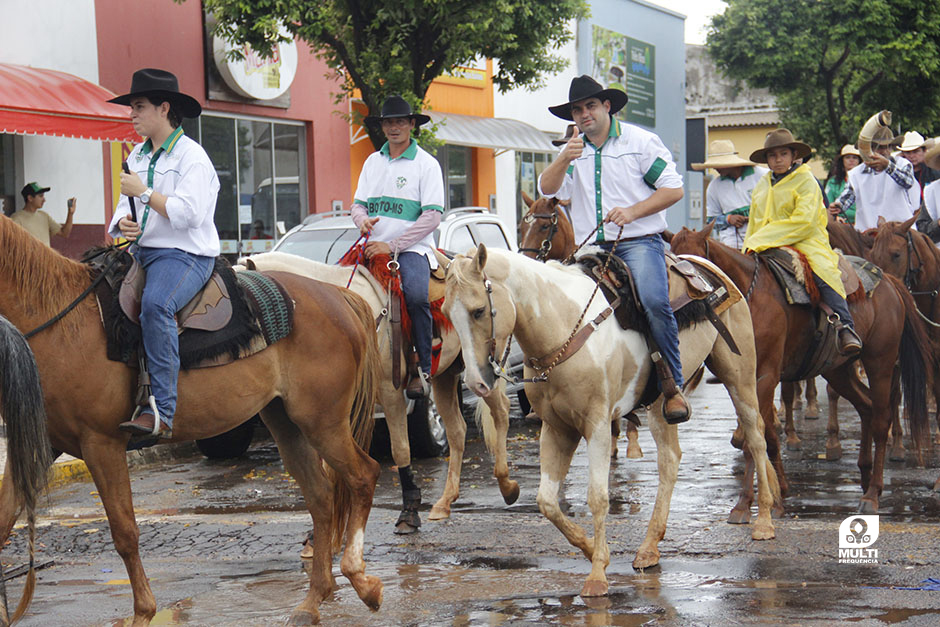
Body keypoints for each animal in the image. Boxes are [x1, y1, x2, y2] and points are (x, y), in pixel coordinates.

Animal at [0, 213, 384, 624]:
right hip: (287, 423)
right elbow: (3, 522)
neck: (63, 325)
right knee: (321, 497)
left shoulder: (101, 444)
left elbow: (125, 532)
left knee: (363, 475)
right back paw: (313, 600)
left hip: (323, 421)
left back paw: (360, 580)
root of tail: (338, 296)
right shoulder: (47, 446)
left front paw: (143, 612)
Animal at [239, 250, 516, 524]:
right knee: (457, 430)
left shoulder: (390, 392)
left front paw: (409, 509)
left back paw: (507, 486)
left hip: (483, 369)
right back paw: (445, 502)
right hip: (444, 377)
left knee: (501, 411)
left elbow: (400, 448)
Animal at [438, 245, 780, 600]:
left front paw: (597, 574)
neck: (564, 328)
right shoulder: (557, 428)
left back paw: (763, 521)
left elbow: (598, 497)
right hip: (660, 405)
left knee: (755, 438)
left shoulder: (597, 426)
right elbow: (547, 502)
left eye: (479, 311)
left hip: (739, 377)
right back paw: (649, 548)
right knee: (670, 460)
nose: (476, 383)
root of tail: (708, 266)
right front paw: (591, 550)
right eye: (447, 312)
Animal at [668, 223, 932, 512]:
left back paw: (872, 493)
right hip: (838, 369)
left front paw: (745, 504)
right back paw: (864, 475)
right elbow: (766, 434)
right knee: (866, 407)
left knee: (882, 419)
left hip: (880, 363)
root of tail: (890, 282)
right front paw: (778, 492)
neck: (750, 302)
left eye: (691, 272)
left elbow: (756, 436)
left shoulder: (766, 376)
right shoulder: (739, 382)